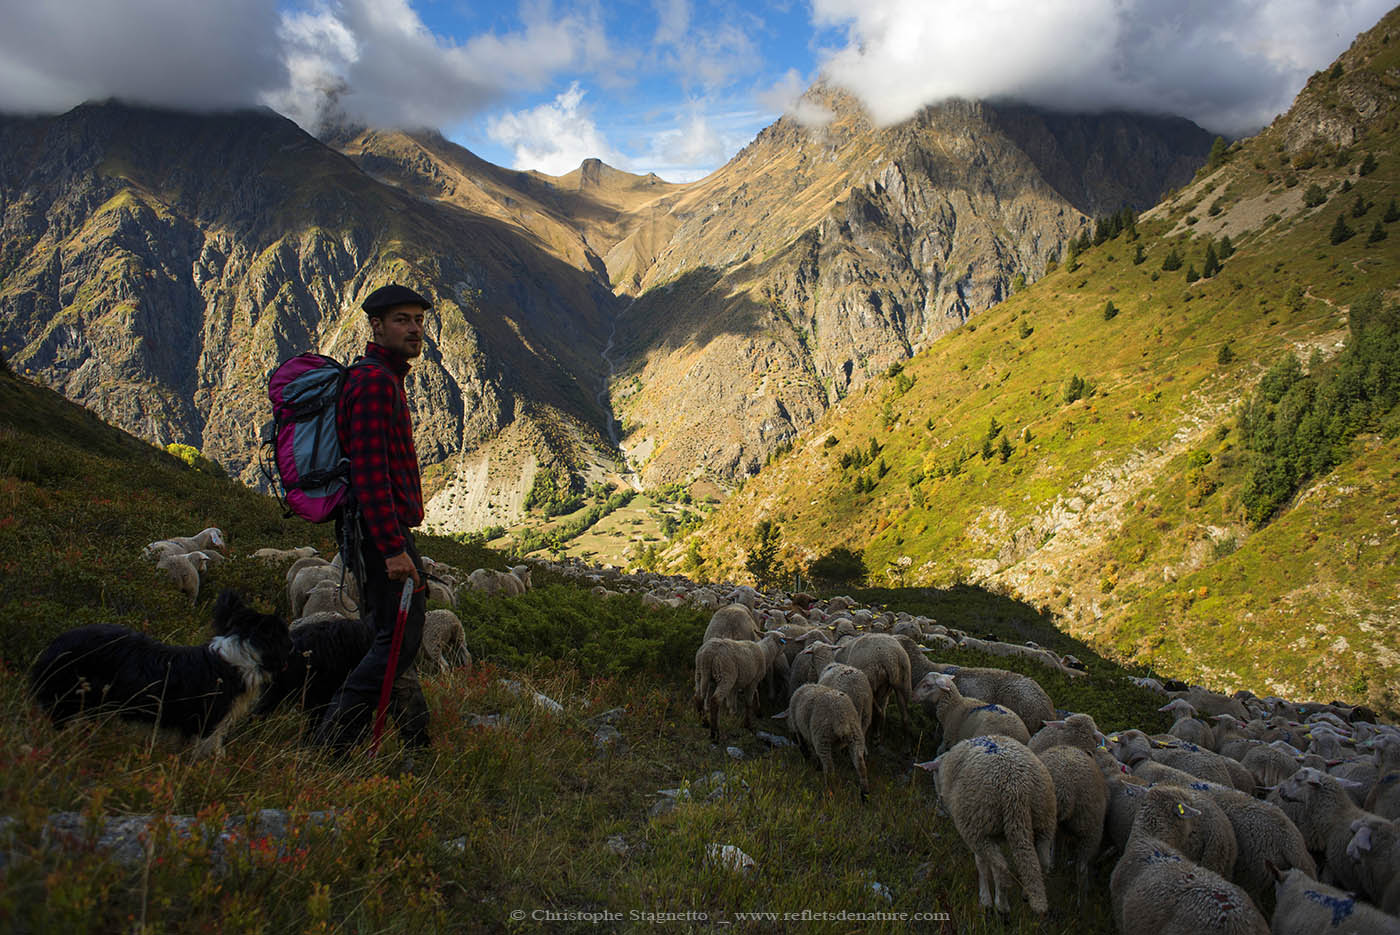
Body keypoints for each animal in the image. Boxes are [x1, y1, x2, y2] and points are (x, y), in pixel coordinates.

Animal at [929, 733, 1052, 918]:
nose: (939, 809)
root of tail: (1016, 788)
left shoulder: (977, 832)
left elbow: (982, 864)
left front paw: (985, 899)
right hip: (1043, 819)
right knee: (1041, 862)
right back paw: (1027, 893)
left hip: (979, 823)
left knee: (1002, 868)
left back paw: (1001, 906)